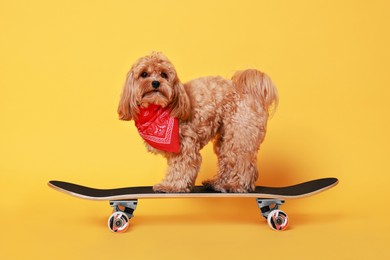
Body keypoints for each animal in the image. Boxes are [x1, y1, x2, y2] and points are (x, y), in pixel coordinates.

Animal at [118, 51, 278, 192]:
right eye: (144, 74)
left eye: (164, 74)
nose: (156, 83)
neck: (157, 110)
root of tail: (249, 92)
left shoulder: (185, 145)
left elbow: (181, 167)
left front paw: (171, 186)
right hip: (225, 137)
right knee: (227, 160)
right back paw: (217, 183)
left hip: (240, 135)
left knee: (242, 162)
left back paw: (235, 185)